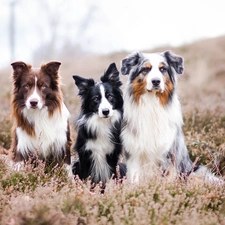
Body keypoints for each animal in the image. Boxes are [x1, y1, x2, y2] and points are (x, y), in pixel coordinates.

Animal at [120, 50, 221, 183]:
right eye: (145, 69)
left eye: (162, 69)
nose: (156, 81)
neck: (152, 104)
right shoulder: (134, 152)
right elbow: (135, 178)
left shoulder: (168, 153)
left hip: (196, 172)